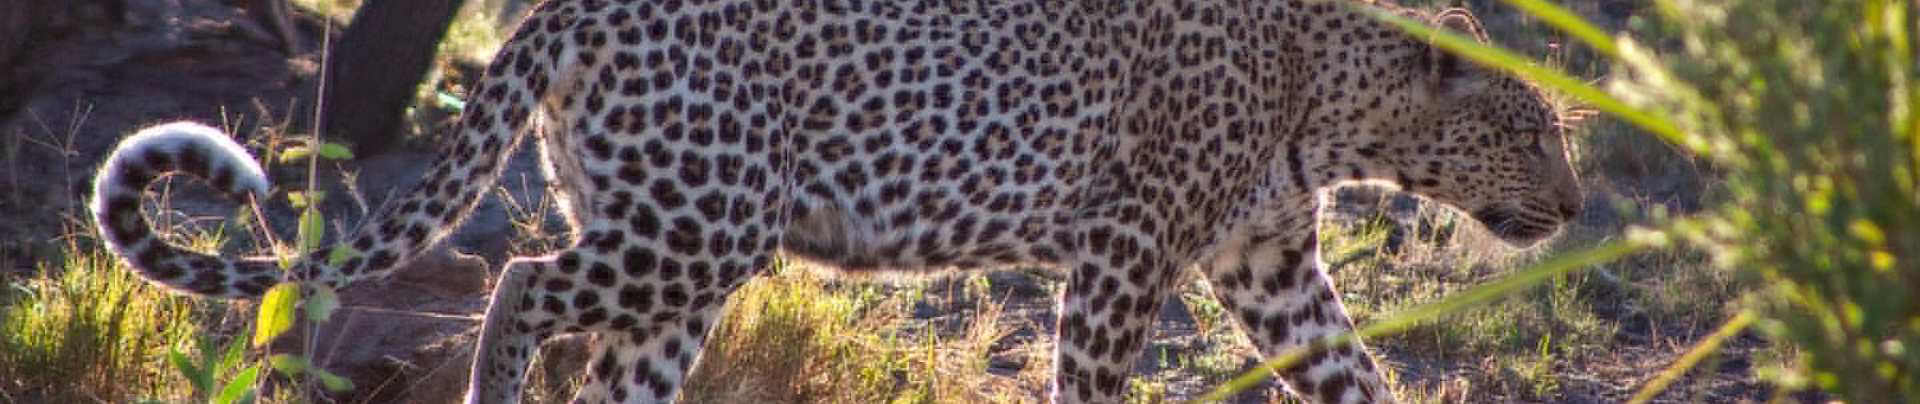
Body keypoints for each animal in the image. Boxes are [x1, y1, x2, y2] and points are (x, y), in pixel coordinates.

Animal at [90, 0, 1584, 403]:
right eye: (1527, 132)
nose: (1574, 206)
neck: (1329, 106)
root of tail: (567, 11)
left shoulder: (1271, 264)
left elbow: (1355, 373)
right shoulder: (1120, 253)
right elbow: (1091, 379)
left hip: (677, 252)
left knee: (609, 355)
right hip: (703, 222)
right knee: (523, 285)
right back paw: (494, 389)